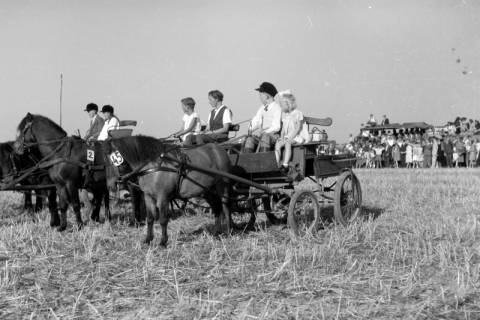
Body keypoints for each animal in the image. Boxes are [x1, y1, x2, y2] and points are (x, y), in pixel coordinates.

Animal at [102, 136, 232, 245]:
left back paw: (229, 230)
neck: (153, 166)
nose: (110, 185)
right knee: (217, 208)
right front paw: (148, 239)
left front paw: (163, 241)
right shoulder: (148, 196)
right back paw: (216, 233)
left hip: (222, 186)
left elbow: (163, 220)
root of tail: (219, 149)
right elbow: (150, 219)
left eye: (111, 161)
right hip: (208, 190)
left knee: (225, 207)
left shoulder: (163, 197)